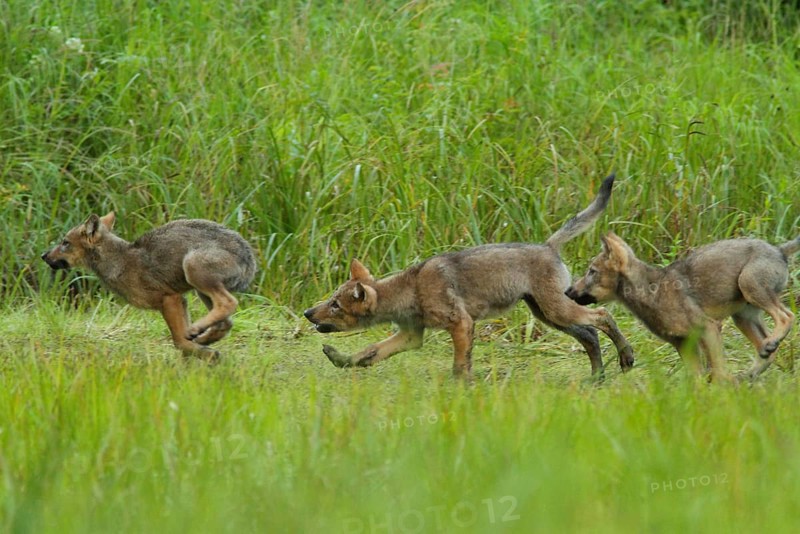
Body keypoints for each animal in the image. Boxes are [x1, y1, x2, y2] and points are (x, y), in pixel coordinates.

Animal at [42, 212, 256, 361]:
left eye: (65, 243)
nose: (44, 255)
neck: (119, 260)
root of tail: (249, 258)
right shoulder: (181, 300)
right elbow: (182, 344)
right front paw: (200, 355)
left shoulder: (170, 299)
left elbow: (178, 341)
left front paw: (207, 354)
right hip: (200, 290)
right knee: (226, 322)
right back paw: (203, 338)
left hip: (193, 270)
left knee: (229, 303)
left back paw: (197, 332)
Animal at [304, 174, 634, 378]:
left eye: (335, 305)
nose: (307, 312)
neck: (410, 290)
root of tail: (548, 245)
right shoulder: (411, 336)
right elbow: (367, 354)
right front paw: (338, 359)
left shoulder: (461, 324)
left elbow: (459, 366)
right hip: (548, 315)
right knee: (590, 334)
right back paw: (597, 378)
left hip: (556, 312)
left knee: (603, 316)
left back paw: (626, 358)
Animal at [566, 232, 799, 380]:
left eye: (592, 272)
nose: (567, 291)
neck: (652, 293)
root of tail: (779, 250)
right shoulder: (682, 343)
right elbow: (697, 378)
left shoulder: (709, 328)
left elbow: (717, 370)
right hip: (743, 317)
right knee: (768, 349)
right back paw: (754, 369)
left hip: (749, 286)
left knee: (787, 316)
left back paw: (767, 348)